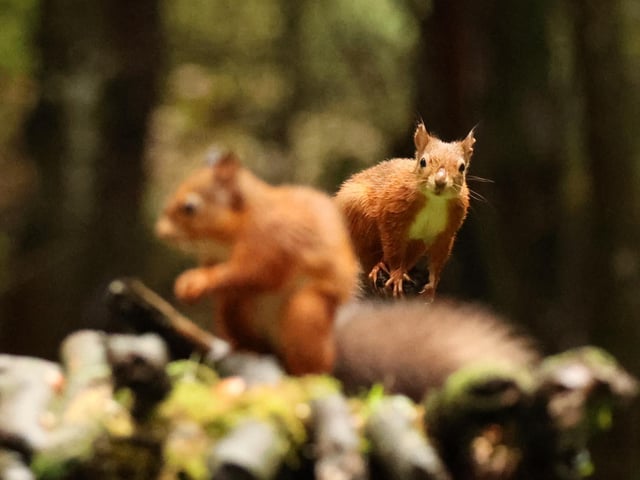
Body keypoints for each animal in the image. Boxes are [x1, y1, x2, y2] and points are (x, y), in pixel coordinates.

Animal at [155, 151, 359, 375]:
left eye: (189, 208)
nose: (160, 231)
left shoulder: (270, 240)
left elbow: (255, 272)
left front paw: (200, 281)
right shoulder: (212, 256)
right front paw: (185, 285)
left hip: (306, 313)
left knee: (312, 361)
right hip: (233, 311)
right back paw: (245, 352)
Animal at [335, 123, 475, 300]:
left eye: (462, 167)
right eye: (423, 162)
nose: (440, 181)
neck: (434, 201)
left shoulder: (446, 232)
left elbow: (438, 259)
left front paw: (431, 286)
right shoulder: (393, 212)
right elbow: (393, 247)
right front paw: (396, 275)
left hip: (417, 243)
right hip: (357, 214)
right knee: (367, 257)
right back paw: (378, 267)